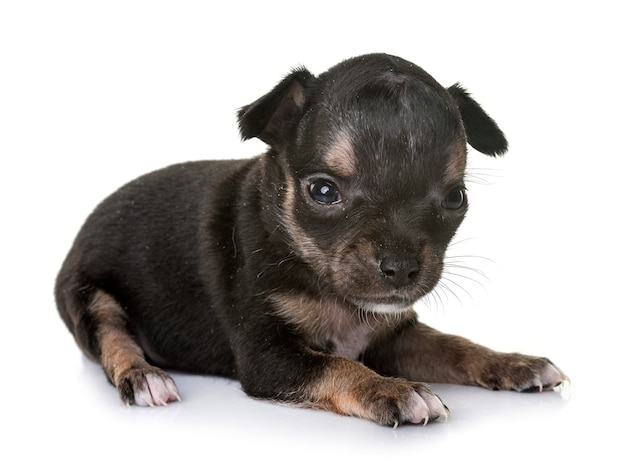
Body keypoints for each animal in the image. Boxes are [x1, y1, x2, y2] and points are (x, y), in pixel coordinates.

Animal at [56, 54, 564, 428]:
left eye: (456, 198)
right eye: (323, 192)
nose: (400, 267)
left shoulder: (394, 336)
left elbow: (455, 346)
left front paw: (513, 362)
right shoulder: (269, 358)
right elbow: (338, 366)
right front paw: (393, 389)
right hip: (90, 296)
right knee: (112, 338)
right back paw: (143, 375)